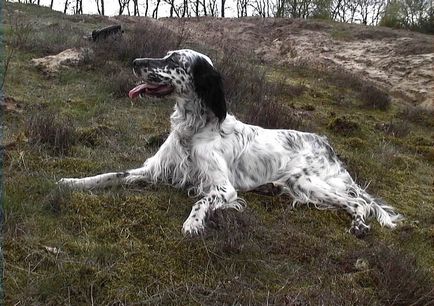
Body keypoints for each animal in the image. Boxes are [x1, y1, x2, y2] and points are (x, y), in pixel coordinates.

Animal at [59, 49, 402, 237]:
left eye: (174, 60)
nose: (134, 60)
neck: (193, 128)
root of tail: (325, 142)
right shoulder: (156, 169)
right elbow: (109, 174)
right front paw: (72, 182)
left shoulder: (223, 188)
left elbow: (200, 200)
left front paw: (193, 224)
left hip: (306, 182)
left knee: (359, 203)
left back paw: (359, 227)